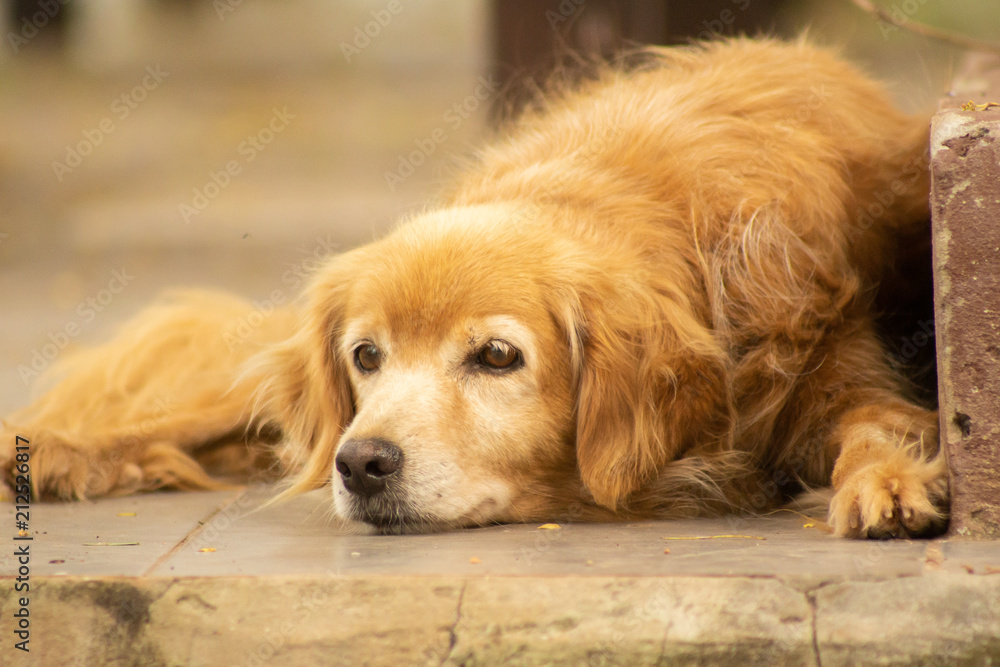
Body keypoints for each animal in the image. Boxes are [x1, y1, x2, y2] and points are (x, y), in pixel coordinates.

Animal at [3, 36, 948, 540]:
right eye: (367, 355)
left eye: (497, 357)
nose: (362, 462)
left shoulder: (842, 370)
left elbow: (875, 426)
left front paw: (889, 483)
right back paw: (52, 447)